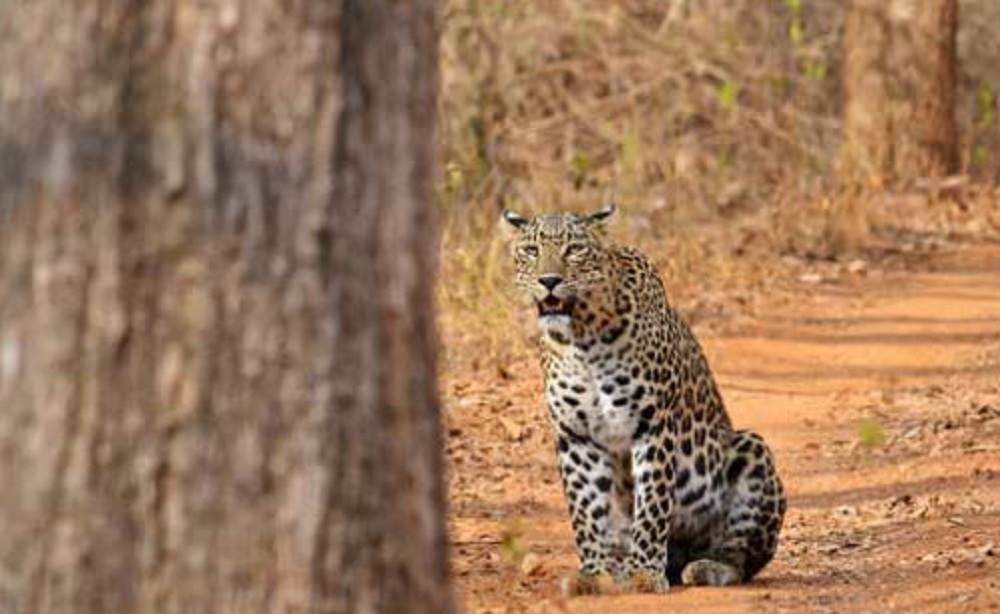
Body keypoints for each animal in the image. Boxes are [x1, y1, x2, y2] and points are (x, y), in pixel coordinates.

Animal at [504, 205, 784, 596]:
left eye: (575, 249)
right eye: (531, 250)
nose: (549, 280)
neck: (581, 338)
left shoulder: (652, 424)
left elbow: (652, 500)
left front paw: (644, 573)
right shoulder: (576, 435)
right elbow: (586, 507)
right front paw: (593, 573)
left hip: (750, 450)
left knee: (743, 557)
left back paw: (705, 567)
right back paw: (619, 565)